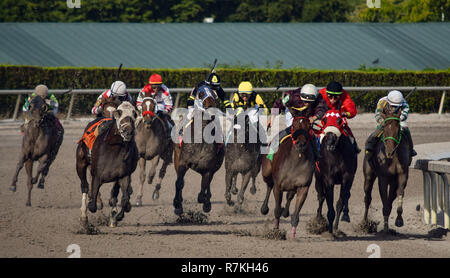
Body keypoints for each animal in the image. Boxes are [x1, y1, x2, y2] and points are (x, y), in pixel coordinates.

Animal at [258, 107, 314, 238]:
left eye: (309, 126)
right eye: (294, 125)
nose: (301, 143)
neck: (296, 161)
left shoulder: (303, 187)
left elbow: (296, 213)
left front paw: (293, 233)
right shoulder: (278, 186)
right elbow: (277, 209)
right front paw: (276, 230)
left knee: (289, 196)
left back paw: (285, 211)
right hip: (266, 170)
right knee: (269, 184)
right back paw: (264, 208)